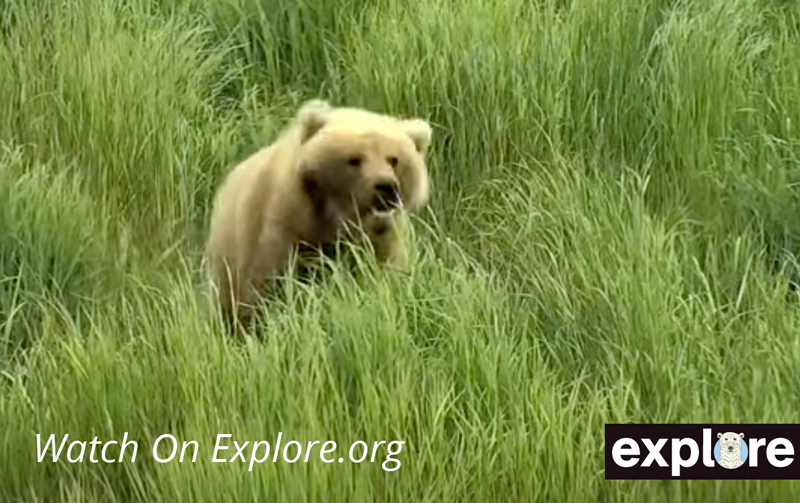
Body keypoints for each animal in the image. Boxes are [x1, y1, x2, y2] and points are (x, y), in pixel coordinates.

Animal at [203, 100, 434, 332]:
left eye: (393, 159)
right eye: (354, 159)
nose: (386, 186)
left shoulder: (381, 239)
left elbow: (379, 275)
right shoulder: (282, 229)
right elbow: (268, 285)